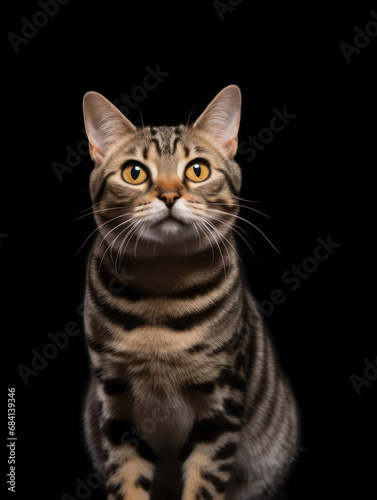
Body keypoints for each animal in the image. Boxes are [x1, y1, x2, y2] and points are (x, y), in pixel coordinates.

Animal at [81, 86, 298, 500]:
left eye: (197, 170)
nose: (169, 195)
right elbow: (126, 480)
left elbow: (204, 483)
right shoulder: (115, 403)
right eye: (135, 172)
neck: (160, 289)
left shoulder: (222, 402)